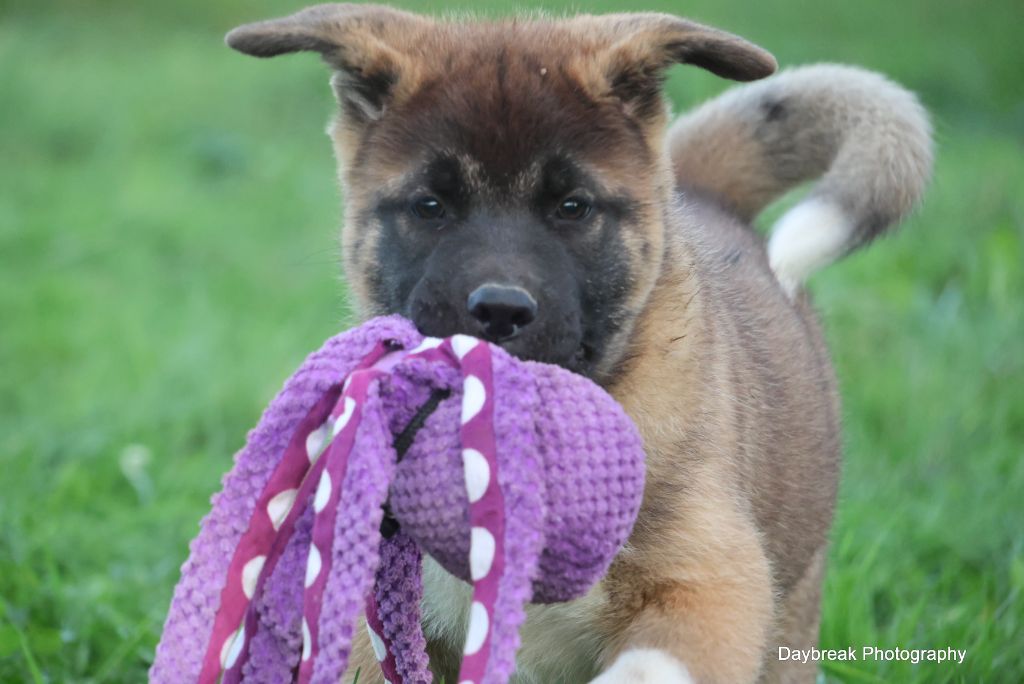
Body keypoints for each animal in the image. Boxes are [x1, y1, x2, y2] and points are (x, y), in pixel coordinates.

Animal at [226, 3, 937, 679]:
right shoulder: (379, 618)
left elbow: (651, 665)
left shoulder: (712, 584)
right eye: (430, 207)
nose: (501, 311)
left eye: (573, 207)